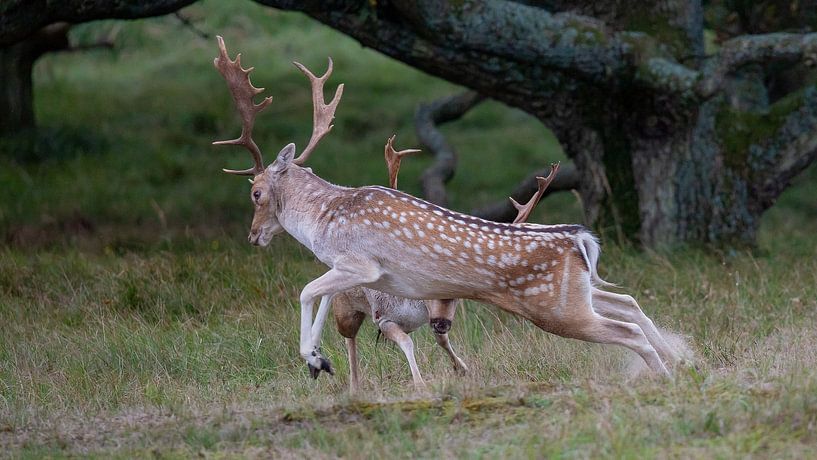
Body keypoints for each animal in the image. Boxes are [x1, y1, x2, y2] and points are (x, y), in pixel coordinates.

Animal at [211, 36, 679, 384]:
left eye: (255, 193)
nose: (253, 235)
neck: (324, 218)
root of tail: (580, 239)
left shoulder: (361, 263)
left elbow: (307, 290)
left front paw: (313, 358)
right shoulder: (354, 274)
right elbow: (323, 295)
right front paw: (318, 360)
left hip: (557, 309)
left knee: (627, 328)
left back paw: (665, 378)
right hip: (574, 295)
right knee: (628, 301)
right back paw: (681, 362)